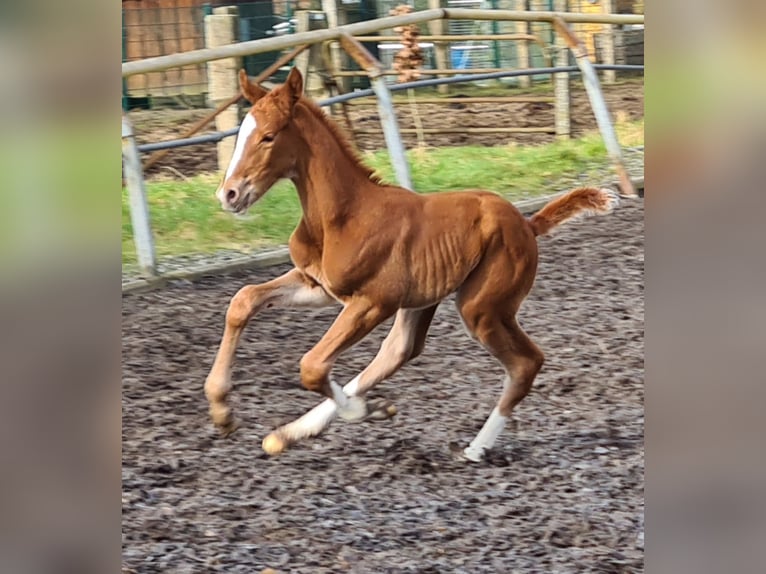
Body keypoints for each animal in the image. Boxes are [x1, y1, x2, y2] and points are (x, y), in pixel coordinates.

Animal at [204, 67, 618, 462]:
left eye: (268, 136)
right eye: (240, 135)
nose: (229, 194)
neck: (344, 216)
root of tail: (528, 224)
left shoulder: (373, 301)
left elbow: (312, 365)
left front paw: (360, 411)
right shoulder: (319, 286)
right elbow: (243, 300)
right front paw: (222, 411)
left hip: (482, 308)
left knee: (525, 363)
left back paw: (474, 449)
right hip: (423, 301)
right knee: (398, 352)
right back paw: (291, 432)